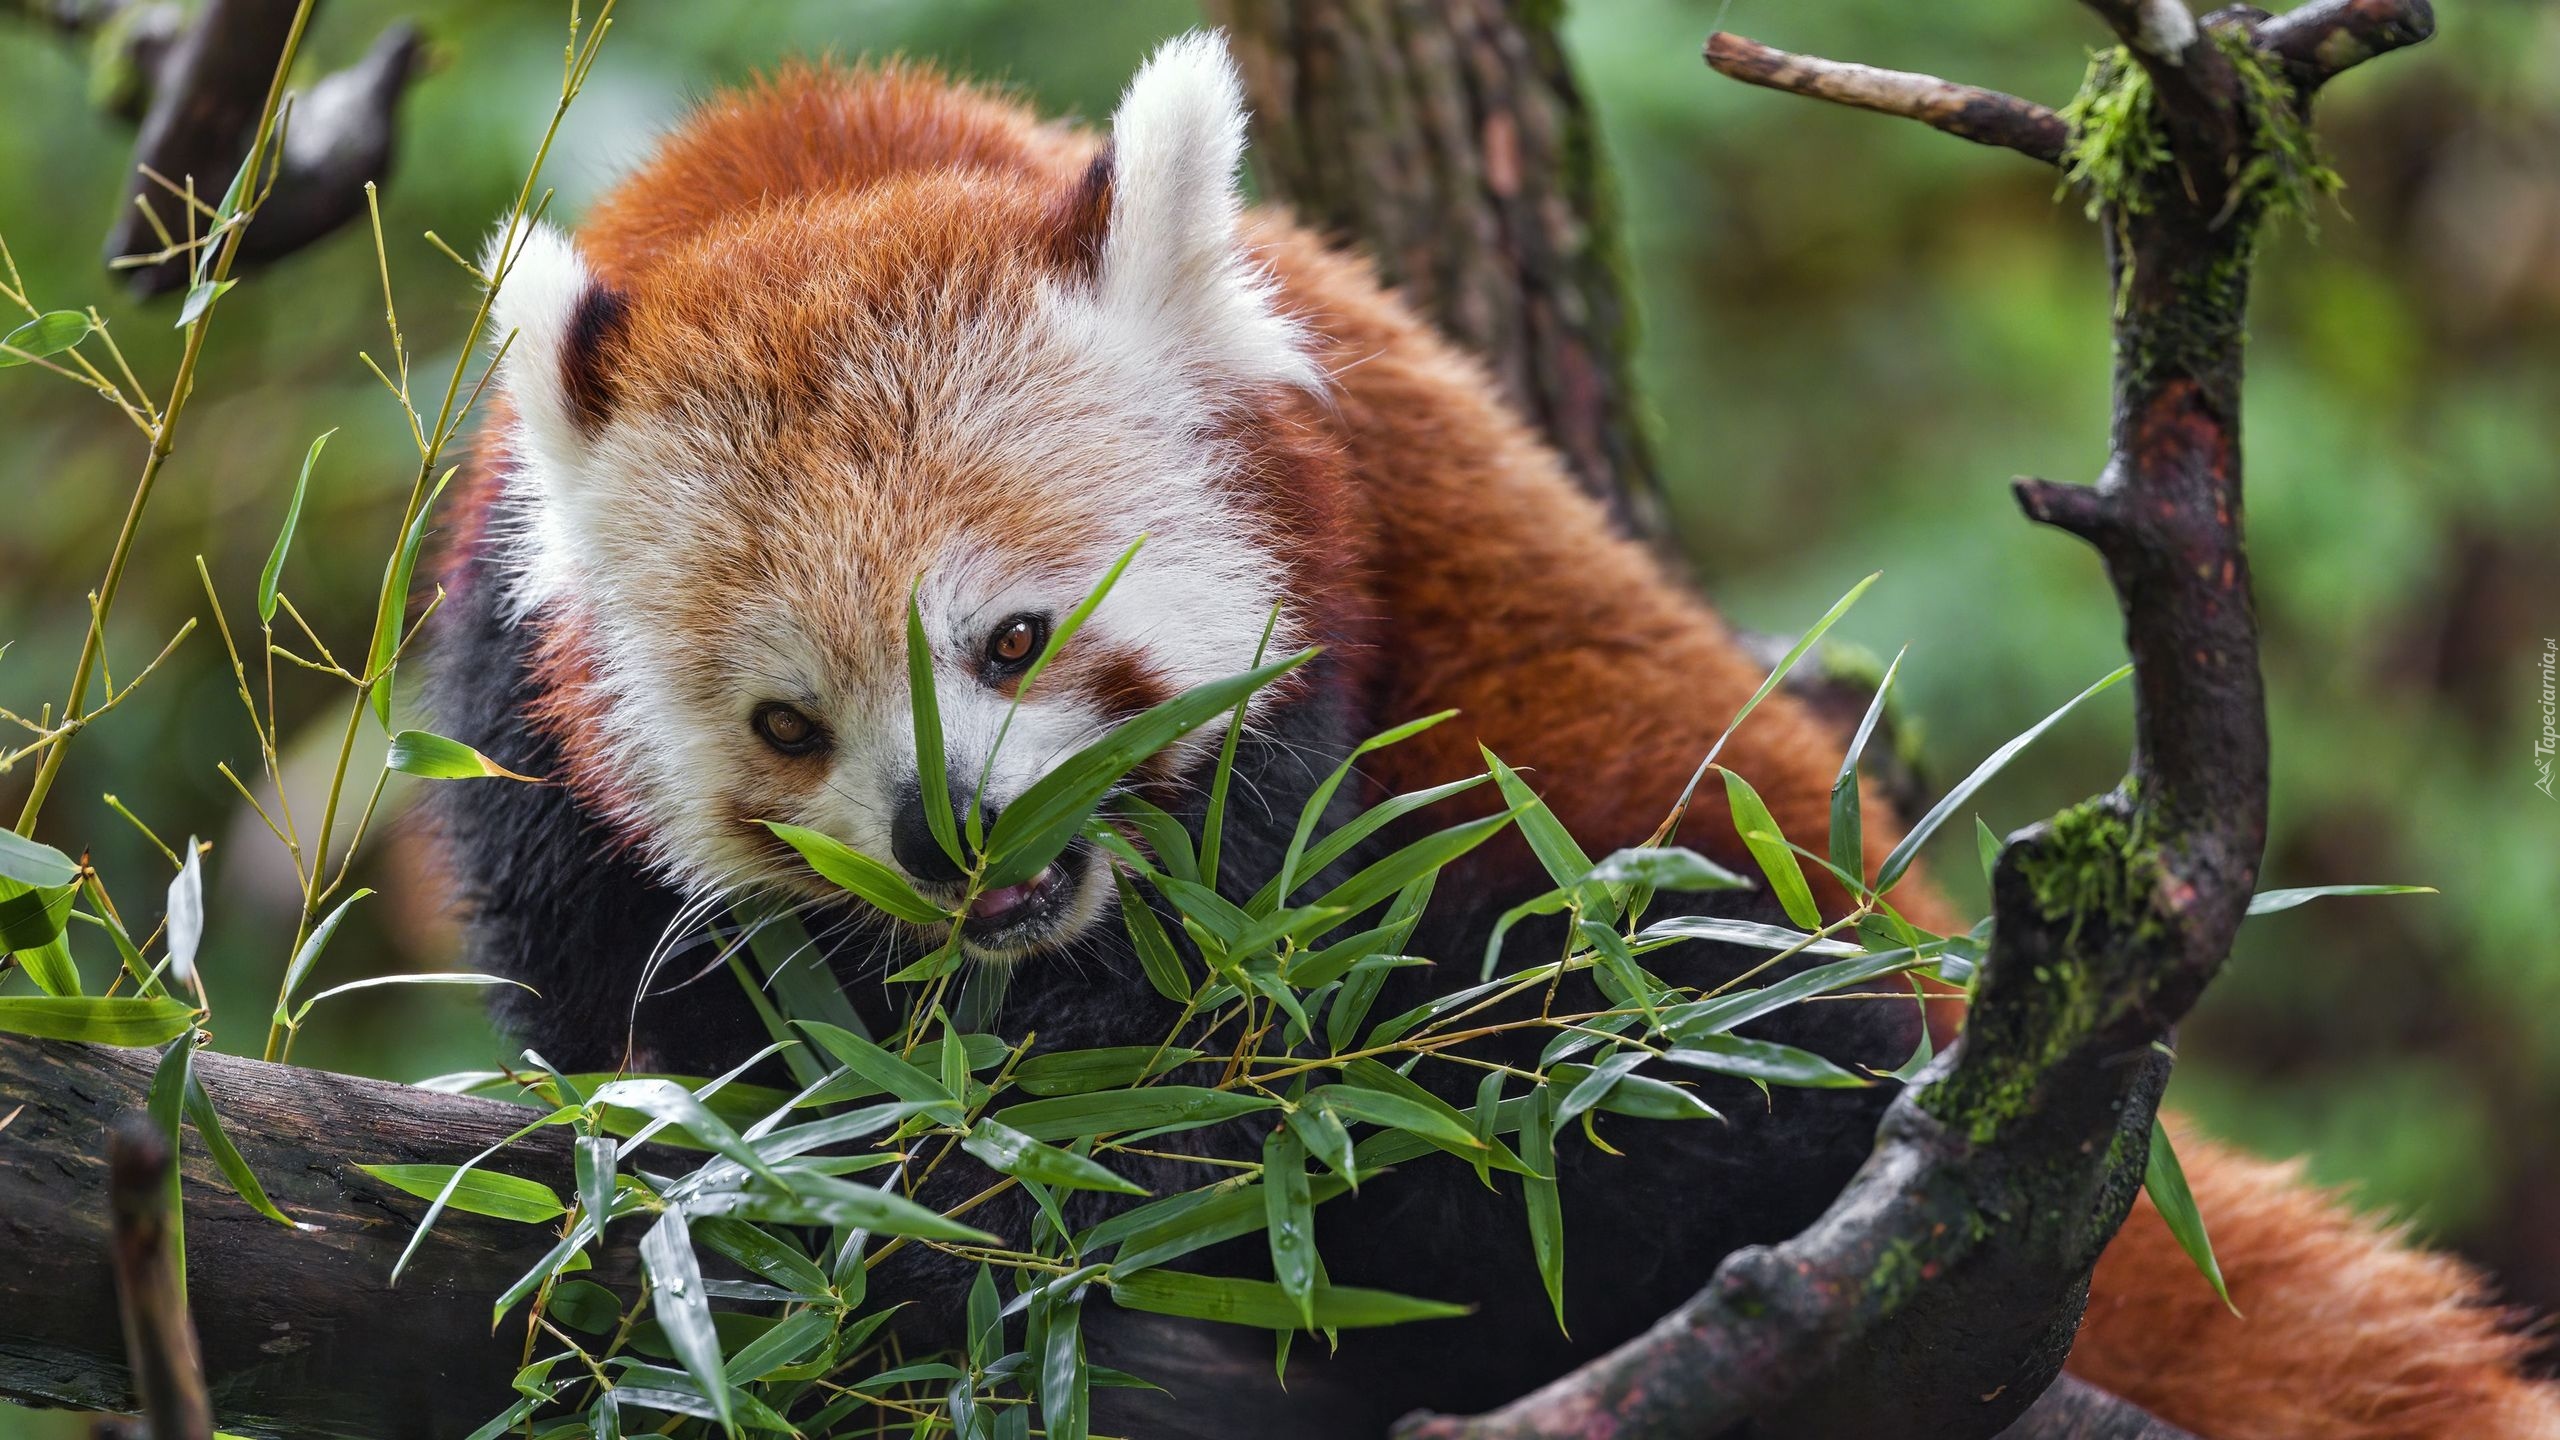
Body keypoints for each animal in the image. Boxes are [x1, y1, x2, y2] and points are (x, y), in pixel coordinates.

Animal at [430, 33, 2549, 1434]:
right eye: (789, 725)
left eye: (1018, 638)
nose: (964, 855)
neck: (796, 164)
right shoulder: (515, 709)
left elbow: (1232, 1048)